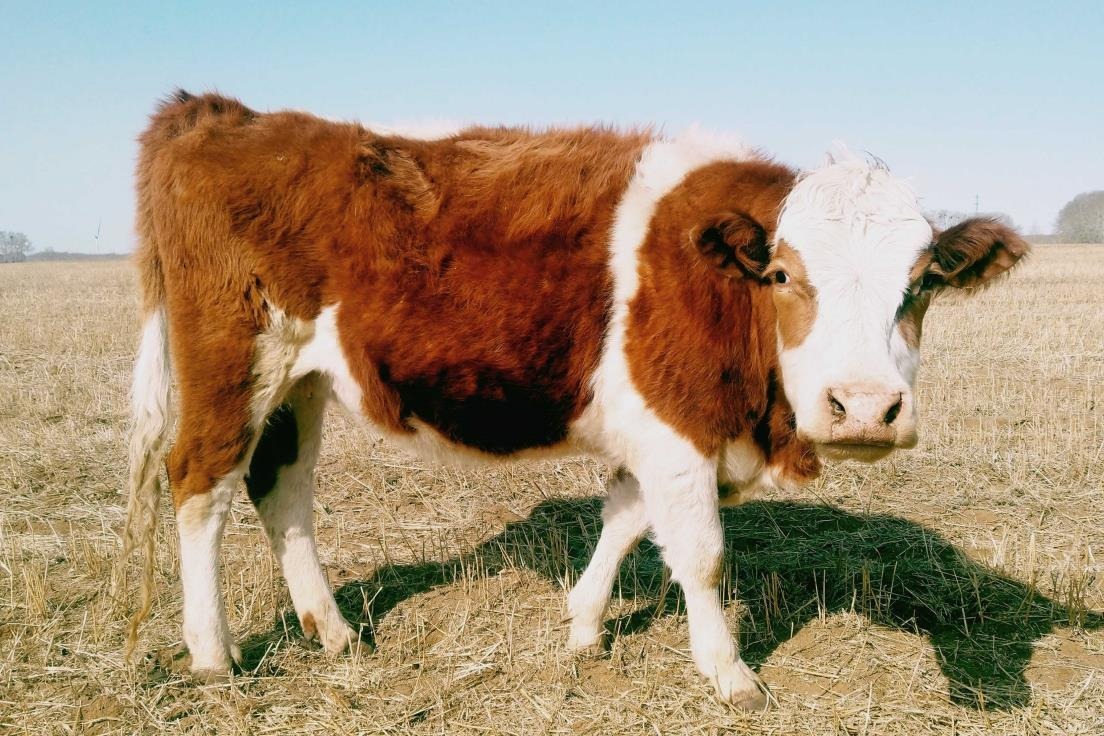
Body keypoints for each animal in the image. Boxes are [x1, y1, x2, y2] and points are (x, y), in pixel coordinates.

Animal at [125, 90, 1028, 706]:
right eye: (781, 274)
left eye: (923, 283)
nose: (867, 408)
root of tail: (224, 114)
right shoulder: (677, 429)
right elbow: (701, 554)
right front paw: (731, 674)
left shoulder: (662, 435)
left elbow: (626, 518)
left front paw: (584, 625)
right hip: (232, 358)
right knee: (200, 485)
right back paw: (212, 653)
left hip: (302, 378)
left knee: (280, 487)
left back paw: (336, 632)